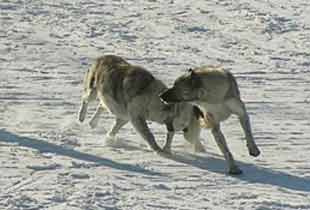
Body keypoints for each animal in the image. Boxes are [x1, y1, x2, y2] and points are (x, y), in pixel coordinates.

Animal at [77, 55, 206, 155]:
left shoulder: (125, 117)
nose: (201, 148)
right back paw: (81, 117)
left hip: (110, 102)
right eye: (186, 127)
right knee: (85, 100)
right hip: (92, 91)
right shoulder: (136, 118)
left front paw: (109, 138)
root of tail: (101, 57)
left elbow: (114, 128)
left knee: (101, 106)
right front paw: (158, 150)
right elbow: (149, 135)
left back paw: (93, 123)